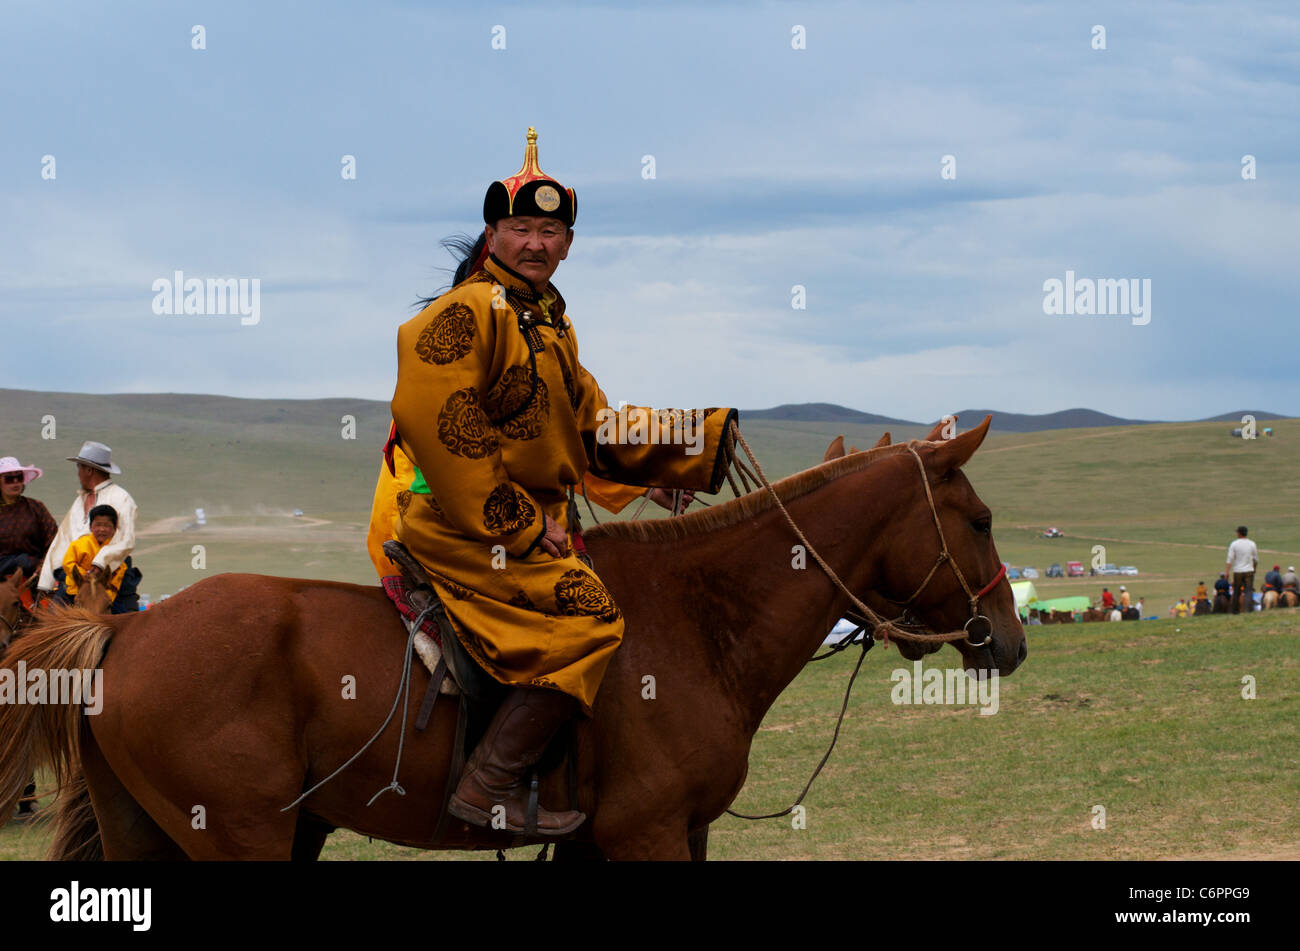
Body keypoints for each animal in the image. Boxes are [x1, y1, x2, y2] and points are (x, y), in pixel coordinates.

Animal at [0, 418, 1024, 862]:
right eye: (978, 520)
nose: (1008, 640)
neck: (701, 622)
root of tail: (120, 639)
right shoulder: (649, 832)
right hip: (243, 838)